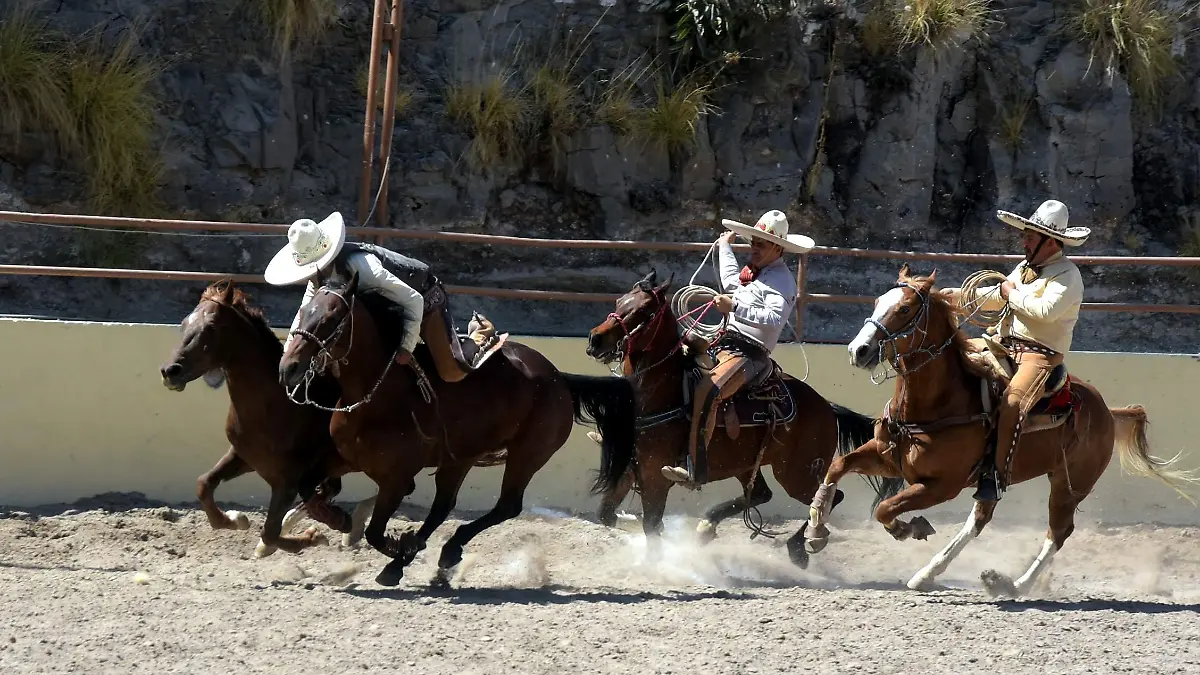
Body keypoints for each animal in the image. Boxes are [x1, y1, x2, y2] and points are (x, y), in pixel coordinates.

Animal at [159, 276, 372, 554]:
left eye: (212, 326)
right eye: (184, 323)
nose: (169, 371)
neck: (271, 408)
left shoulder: (287, 481)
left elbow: (270, 531)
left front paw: (312, 537)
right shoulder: (244, 457)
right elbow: (203, 484)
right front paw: (235, 519)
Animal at [276, 266, 643, 583]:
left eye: (332, 318)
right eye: (305, 311)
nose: (288, 368)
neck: (376, 396)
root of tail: (560, 379)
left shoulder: (396, 479)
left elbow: (375, 532)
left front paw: (398, 546)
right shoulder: (343, 459)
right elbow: (308, 486)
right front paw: (335, 519)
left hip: (527, 456)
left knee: (505, 506)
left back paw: (434, 553)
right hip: (460, 459)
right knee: (443, 507)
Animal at [585, 267, 902, 562]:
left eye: (644, 311)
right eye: (620, 300)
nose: (595, 340)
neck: (663, 395)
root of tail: (827, 407)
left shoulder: (656, 476)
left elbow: (651, 524)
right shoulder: (631, 468)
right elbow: (606, 515)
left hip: (796, 474)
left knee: (827, 496)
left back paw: (798, 547)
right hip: (747, 464)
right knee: (763, 493)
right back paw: (707, 527)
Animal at [806, 263, 1200, 593]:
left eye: (904, 309)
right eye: (876, 301)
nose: (859, 350)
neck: (939, 403)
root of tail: (1106, 410)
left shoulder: (941, 486)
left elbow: (885, 509)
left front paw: (908, 528)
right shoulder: (889, 460)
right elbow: (838, 466)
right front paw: (816, 528)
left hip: (1070, 483)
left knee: (1057, 532)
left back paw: (1013, 584)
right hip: (1003, 481)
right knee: (980, 520)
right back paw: (931, 575)